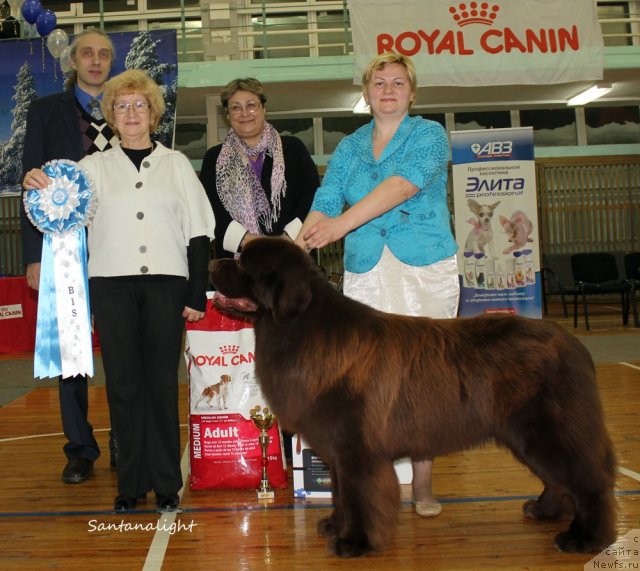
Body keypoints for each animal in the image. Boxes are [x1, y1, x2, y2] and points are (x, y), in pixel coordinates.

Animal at [212, 237, 616, 560]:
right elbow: (341, 492)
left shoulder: (356, 449)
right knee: (559, 478)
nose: (212, 263)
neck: (301, 327)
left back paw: (585, 538)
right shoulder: (337, 452)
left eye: (243, 263)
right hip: (527, 436)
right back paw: (544, 510)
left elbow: (359, 497)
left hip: (545, 431)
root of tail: (571, 343)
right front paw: (335, 525)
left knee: (588, 481)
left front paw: (354, 542)